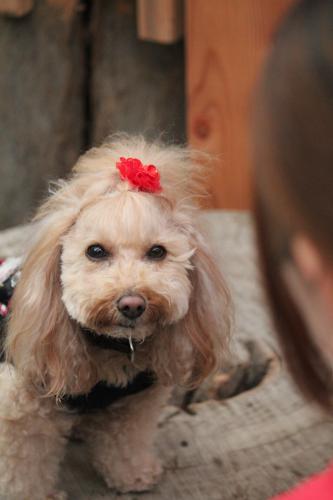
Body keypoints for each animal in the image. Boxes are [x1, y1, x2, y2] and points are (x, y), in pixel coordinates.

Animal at [0, 136, 230, 500]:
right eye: (95, 251)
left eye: (157, 252)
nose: (132, 304)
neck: (113, 348)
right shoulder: (21, 414)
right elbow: (24, 469)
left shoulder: (133, 404)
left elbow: (125, 443)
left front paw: (133, 475)